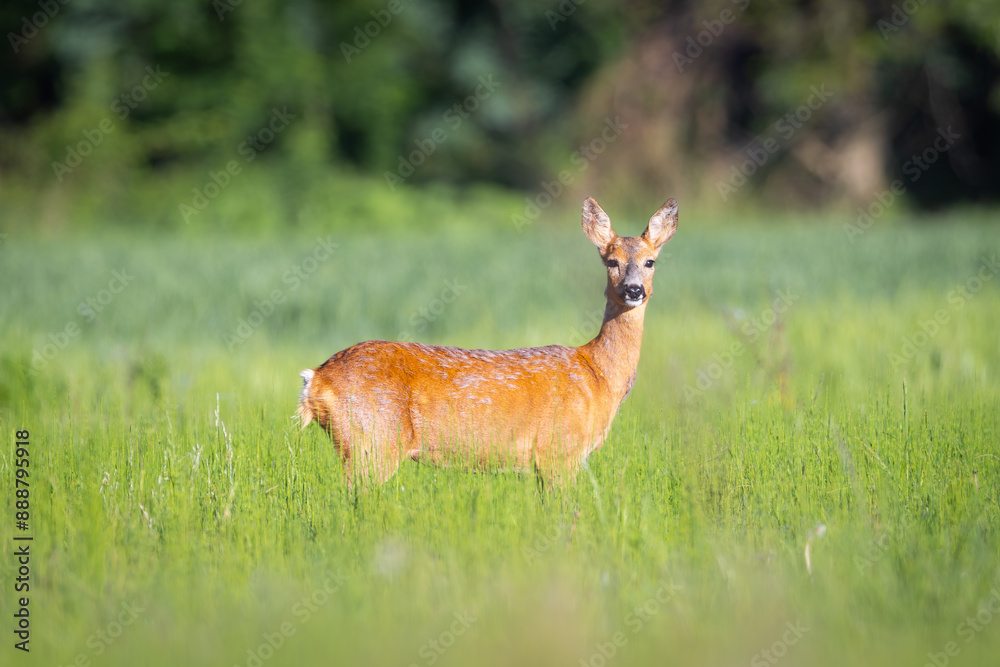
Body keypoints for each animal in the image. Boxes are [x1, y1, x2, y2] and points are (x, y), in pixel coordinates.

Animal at [296, 197, 678, 489]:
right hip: (373, 440)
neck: (598, 375)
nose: (633, 290)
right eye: (611, 261)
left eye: (650, 262)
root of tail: (317, 381)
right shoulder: (560, 452)